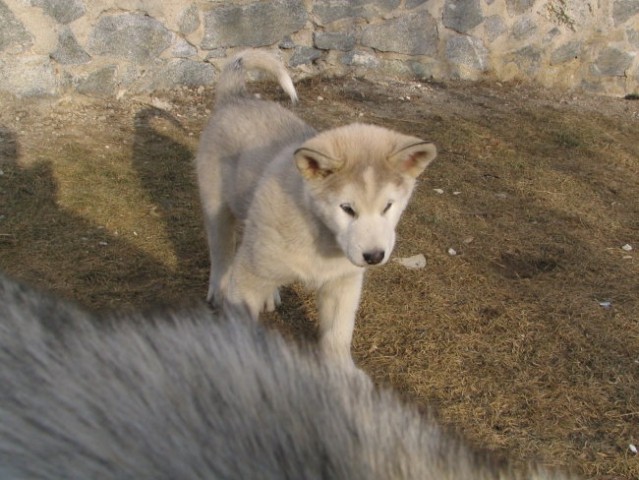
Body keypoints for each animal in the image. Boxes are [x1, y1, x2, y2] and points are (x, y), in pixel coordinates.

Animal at [192, 50, 438, 366]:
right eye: (347, 209)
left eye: (388, 206)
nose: (374, 256)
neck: (319, 233)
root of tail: (236, 98)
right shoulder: (247, 280)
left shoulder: (343, 283)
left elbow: (338, 335)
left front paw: (342, 373)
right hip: (218, 209)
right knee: (222, 252)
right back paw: (218, 290)